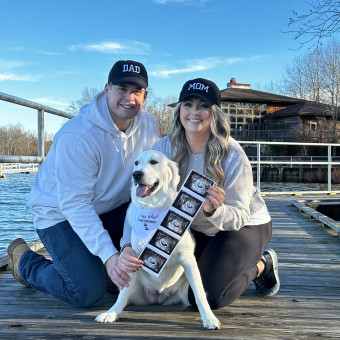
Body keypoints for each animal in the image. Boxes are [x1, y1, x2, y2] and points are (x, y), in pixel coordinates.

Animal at [95, 149, 220, 330]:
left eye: (154, 162)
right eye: (136, 163)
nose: (136, 174)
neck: (153, 207)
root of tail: (158, 298)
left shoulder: (188, 259)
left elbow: (199, 291)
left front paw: (209, 318)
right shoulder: (135, 259)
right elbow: (123, 293)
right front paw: (111, 313)